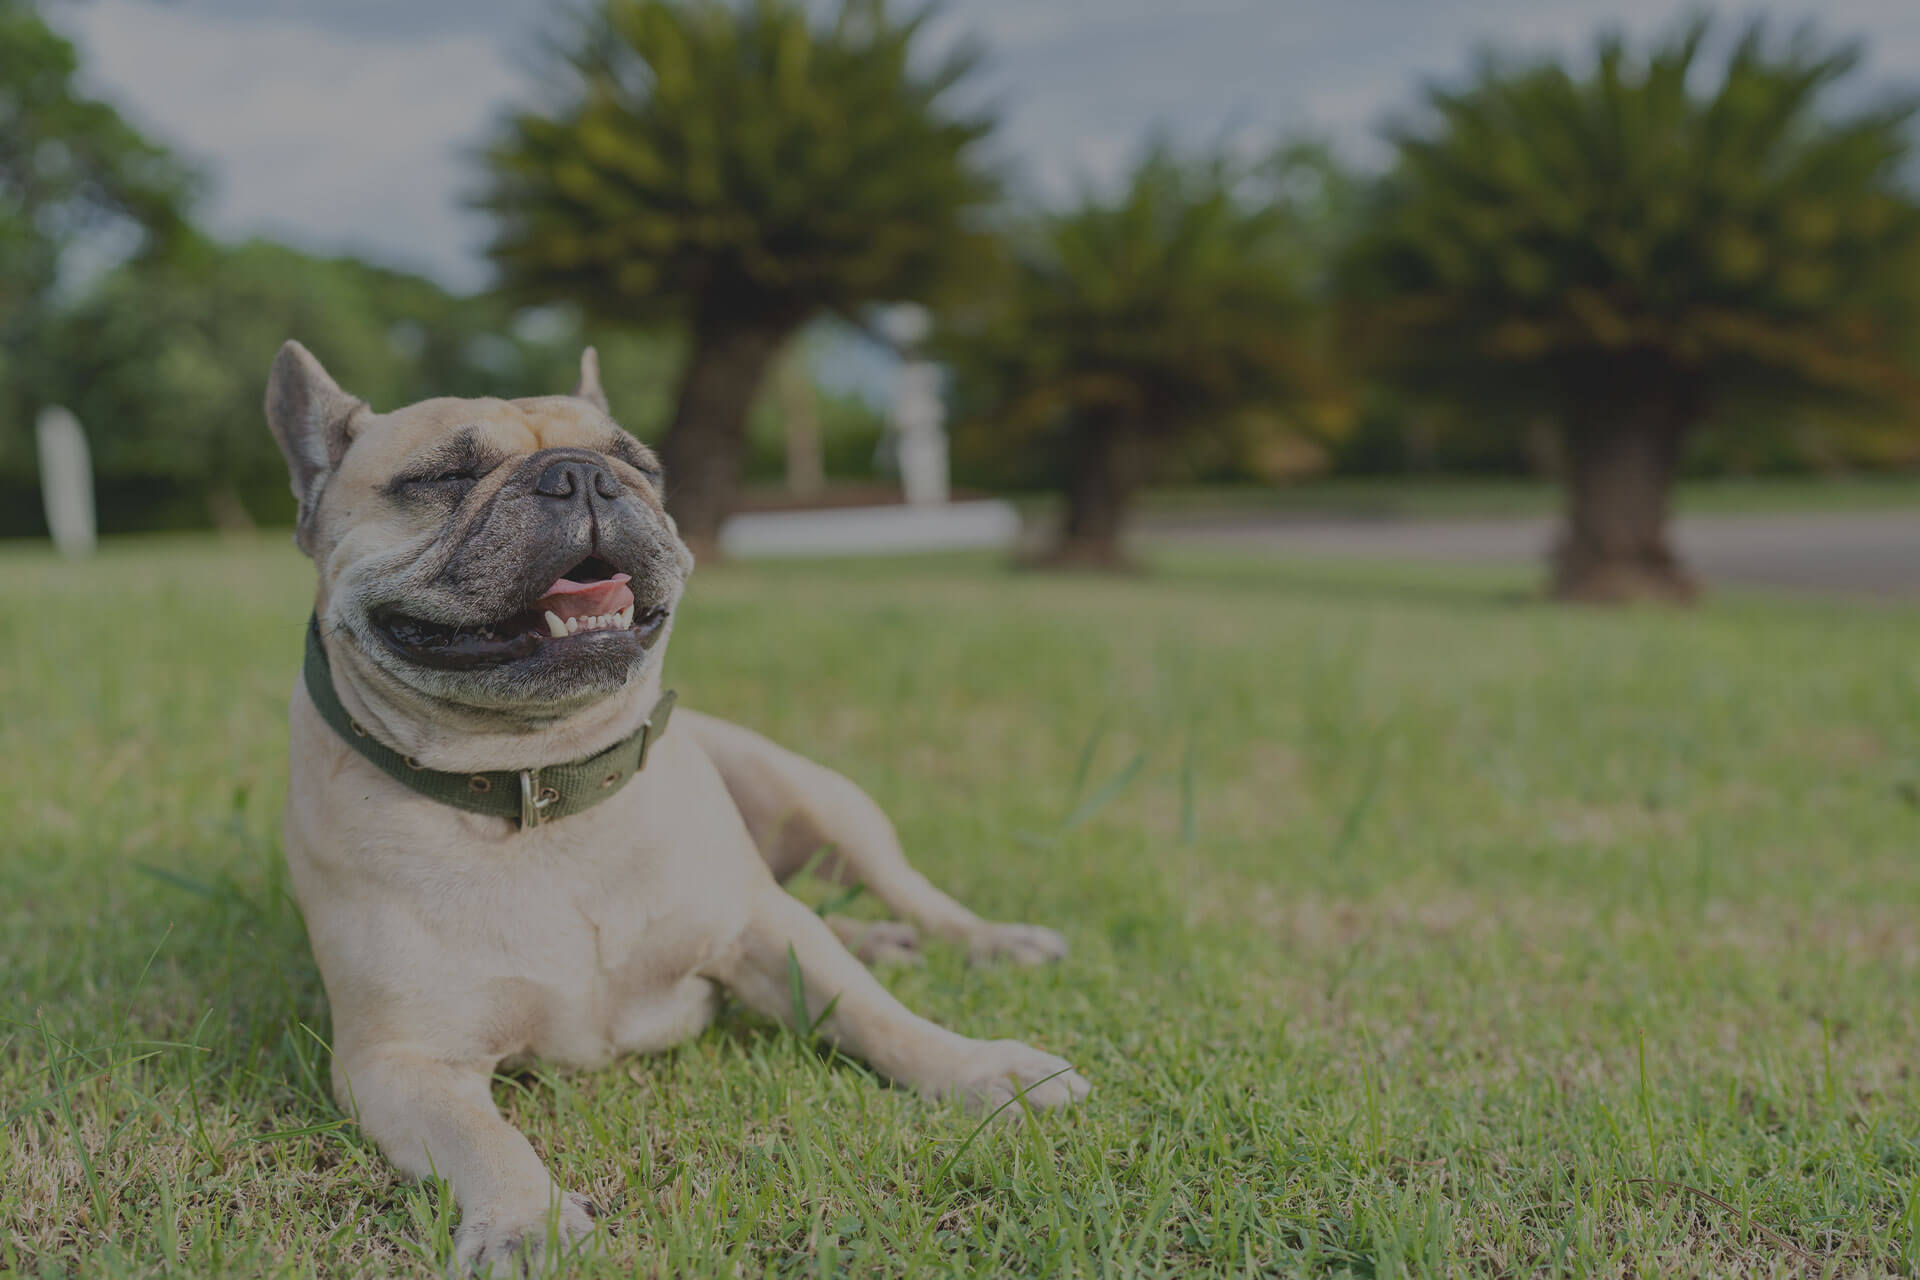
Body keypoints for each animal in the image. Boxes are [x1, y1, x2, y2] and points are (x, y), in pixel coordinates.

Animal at [266, 339, 1098, 1274]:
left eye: (640, 464)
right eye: (444, 475)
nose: (582, 476)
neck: (537, 783)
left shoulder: (761, 932)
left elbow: (878, 1016)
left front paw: (983, 1071)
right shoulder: (398, 1061)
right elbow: (486, 1138)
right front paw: (524, 1221)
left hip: (821, 803)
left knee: (908, 894)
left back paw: (989, 941)